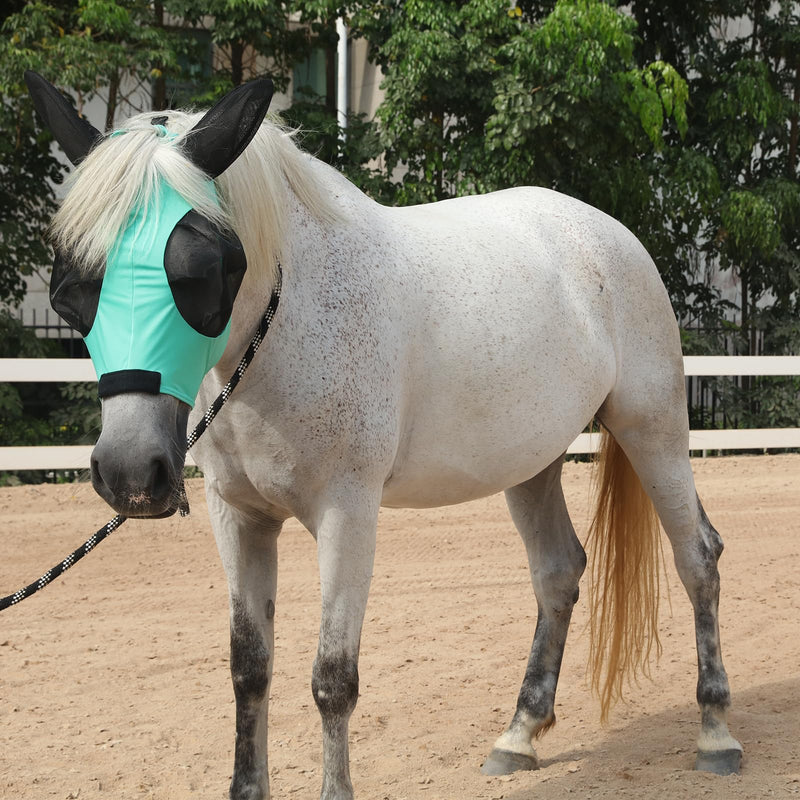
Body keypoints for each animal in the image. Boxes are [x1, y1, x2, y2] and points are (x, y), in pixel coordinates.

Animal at [26, 72, 742, 800]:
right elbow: (249, 669)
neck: (283, 330)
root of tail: (609, 234)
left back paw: (715, 733)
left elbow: (332, 680)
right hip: (529, 461)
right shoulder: (238, 516)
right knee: (558, 572)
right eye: (70, 292)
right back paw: (518, 736)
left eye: (201, 271)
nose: (130, 474)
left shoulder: (347, 514)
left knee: (697, 556)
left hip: (653, 428)